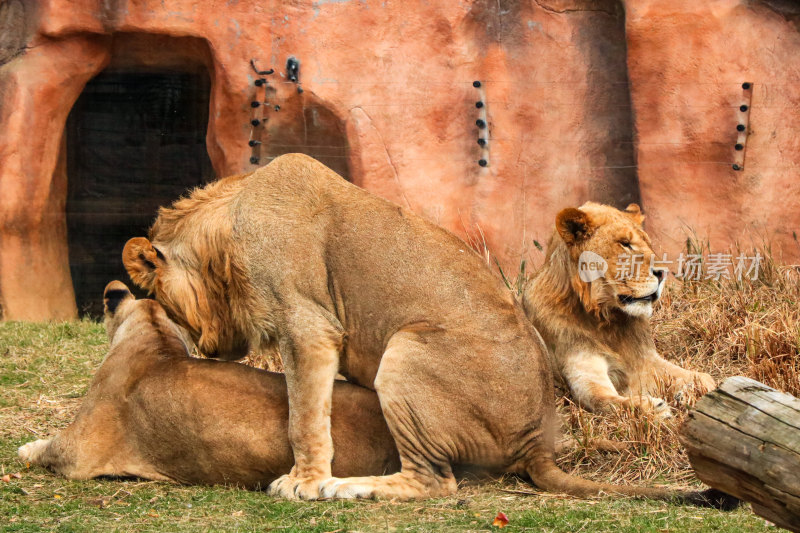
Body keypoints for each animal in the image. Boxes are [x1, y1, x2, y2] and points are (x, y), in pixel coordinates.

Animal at [520, 202, 716, 418]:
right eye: (625, 243)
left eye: (648, 243)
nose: (662, 273)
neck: (607, 321)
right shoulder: (581, 369)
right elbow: (605, 400)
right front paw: (652, 409)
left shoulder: (645, 359)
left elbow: (705, 378)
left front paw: (690, 392)